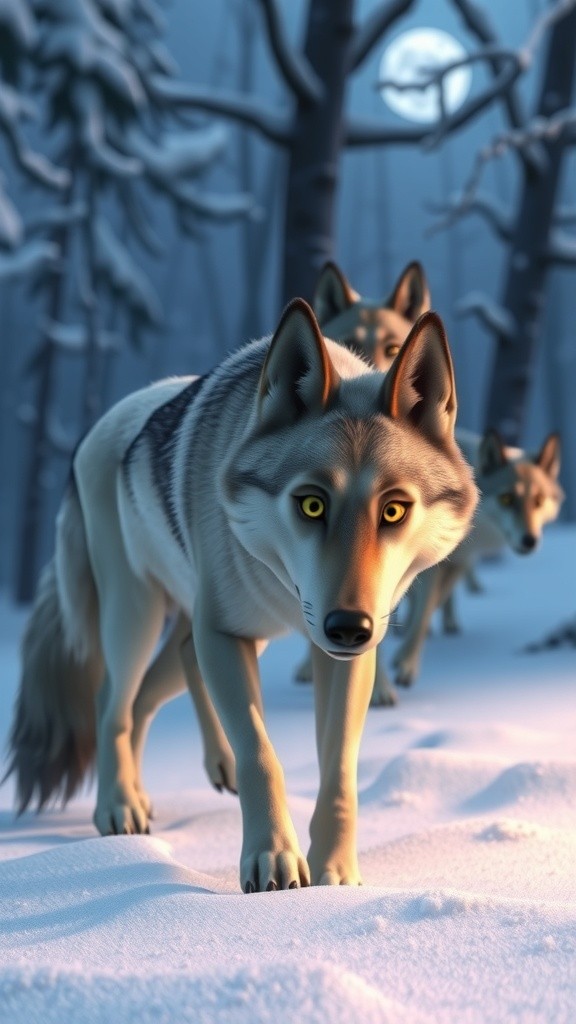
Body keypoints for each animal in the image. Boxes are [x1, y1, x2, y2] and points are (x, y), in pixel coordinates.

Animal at [5, 301, 477, 892]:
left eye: (393, 510)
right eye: (311, 504)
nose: (349, 626)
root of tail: (97, 427)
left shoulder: (342, 655)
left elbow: (339, 769)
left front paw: (335, 876)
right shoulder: (226, 635)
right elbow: (261, 754)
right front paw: (272, 860)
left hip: (198, 631)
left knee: (155, 685)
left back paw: (157, 791)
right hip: (134, 614)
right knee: (111, 699)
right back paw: (118, 807)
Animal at [371, 428, 563, 702]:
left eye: (538, 500)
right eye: (506, 499)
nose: (530, 540)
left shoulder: (458, 561)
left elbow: (427, 611)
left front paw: (404, 660)